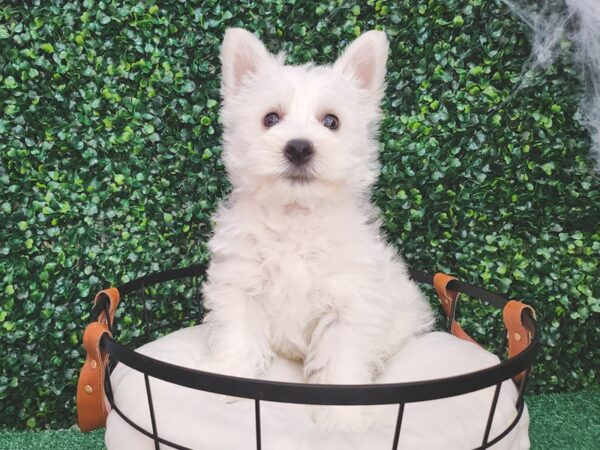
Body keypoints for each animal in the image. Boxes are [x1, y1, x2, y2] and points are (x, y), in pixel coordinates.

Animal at [203, 27, 436, 428]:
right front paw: (229, 384)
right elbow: (238, 338)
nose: (299, 147)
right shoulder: (241, 285)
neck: (297, 216)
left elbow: (341, 362)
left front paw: (341, 421)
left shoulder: (349, 305)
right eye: (270, 118)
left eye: (331, 121)